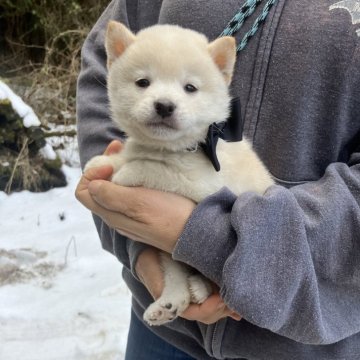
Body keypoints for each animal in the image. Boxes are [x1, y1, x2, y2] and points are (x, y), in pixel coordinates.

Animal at [86, 21, 272, 326]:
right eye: (143, 82)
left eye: (190, 88)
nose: (164, 105)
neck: (175, 148)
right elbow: (133, 153)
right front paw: (106, 161)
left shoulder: (204, 185)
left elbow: (157, 170)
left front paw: (128, 171)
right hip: (168, 252)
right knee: (175, 273)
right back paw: (169, 303)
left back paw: (198, 287)